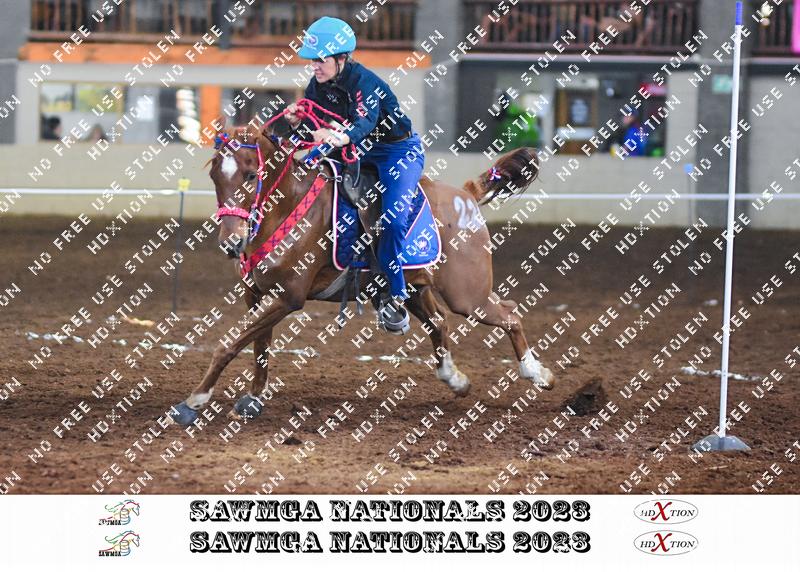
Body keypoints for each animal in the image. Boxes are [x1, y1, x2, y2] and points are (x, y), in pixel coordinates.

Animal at [168, 116, 556, 425]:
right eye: (215, 176)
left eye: (251, 175)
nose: (231, 242)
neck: (289, 208)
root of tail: (467, 196)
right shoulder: (257, 293)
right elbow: (257, 344)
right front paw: (252, 398)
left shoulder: (287, 297)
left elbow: (229, 344)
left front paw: (193, 402)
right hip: (416, 287)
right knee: (440, 322)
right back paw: (455, 379)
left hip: (468, 295)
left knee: (509, 314)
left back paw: (538, 374)